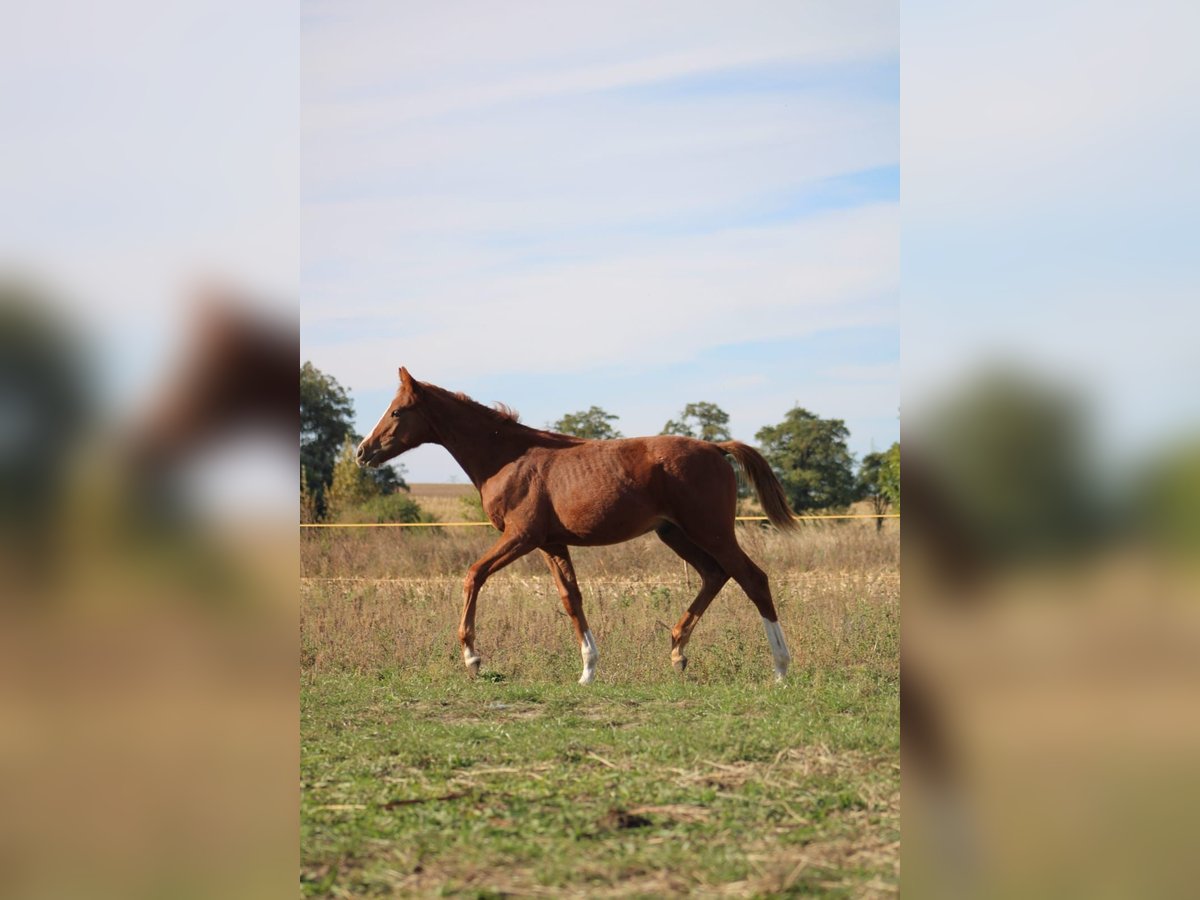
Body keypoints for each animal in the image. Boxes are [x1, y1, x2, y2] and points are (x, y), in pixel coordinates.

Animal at [360, 369, 801, 686]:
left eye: (397, 411)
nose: (364, 451)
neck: (508, 458)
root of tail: (716, 448)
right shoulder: (551, 543)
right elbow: (571, 598)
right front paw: (588, 670)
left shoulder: (521, 536)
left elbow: (474, 575)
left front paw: (472, 657)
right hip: (674, 533)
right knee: (715, 575)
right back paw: (677, 652)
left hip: (710, 530)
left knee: (752, 578)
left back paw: (780, 668)